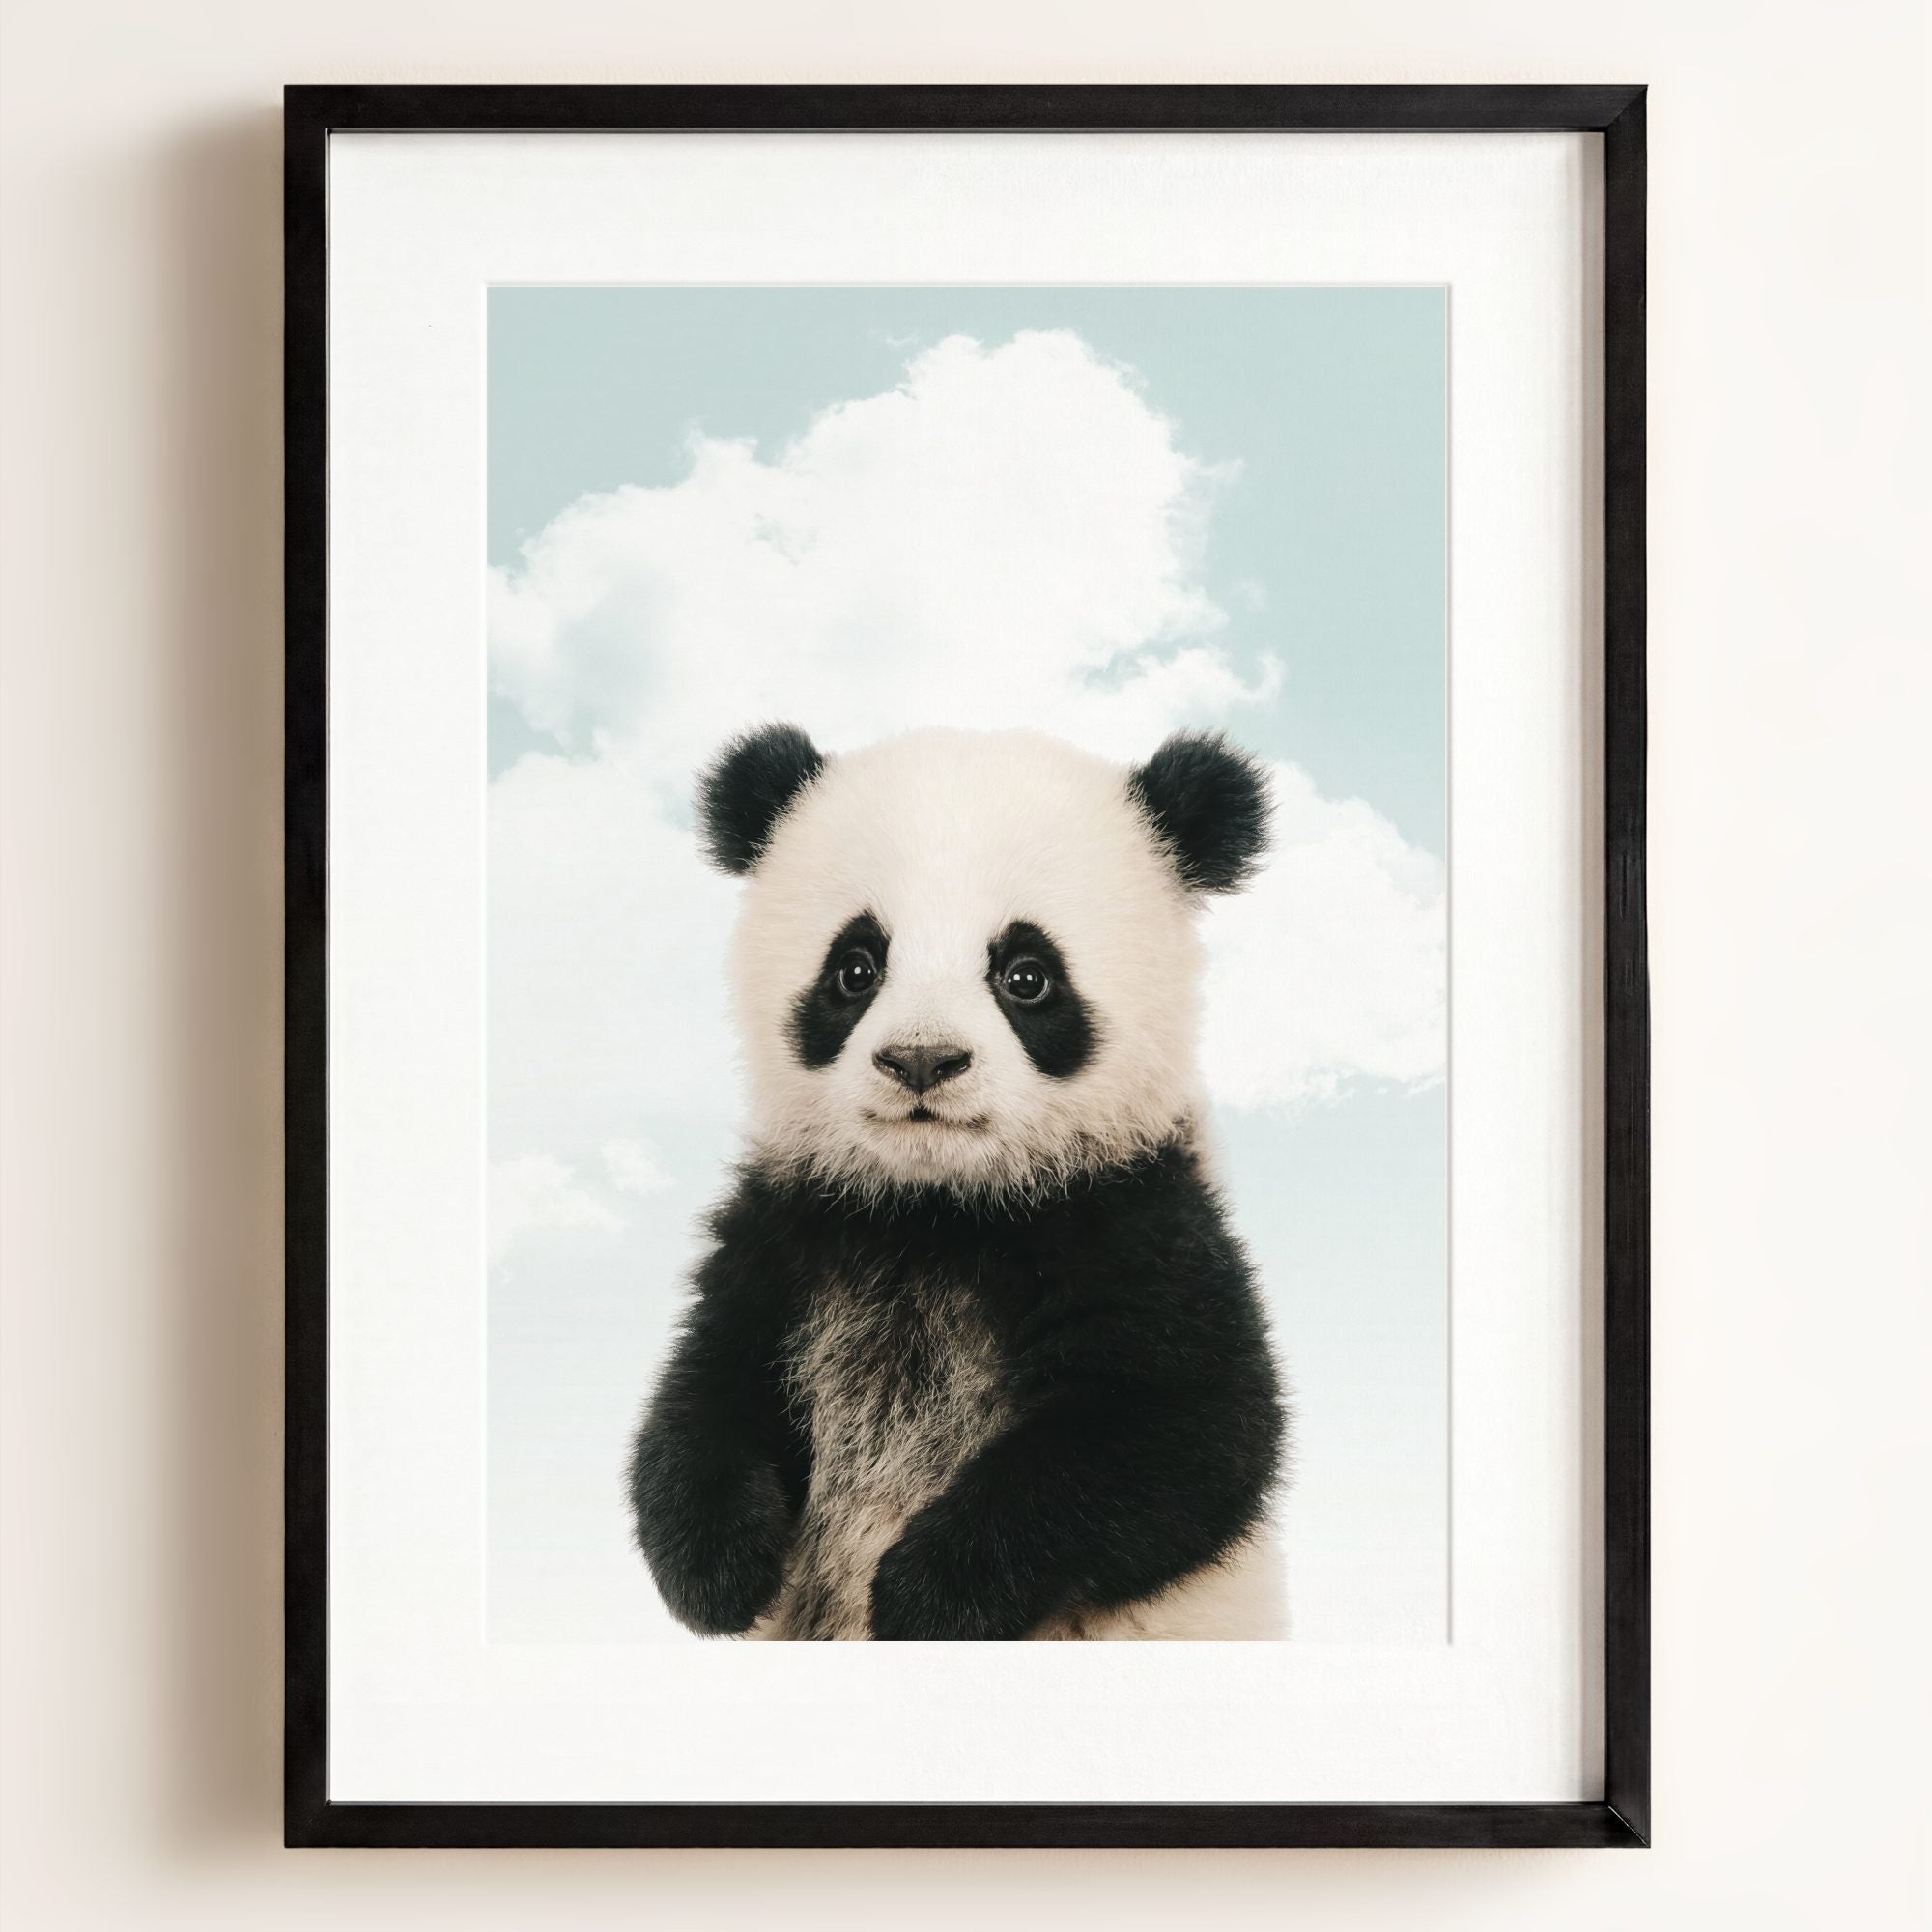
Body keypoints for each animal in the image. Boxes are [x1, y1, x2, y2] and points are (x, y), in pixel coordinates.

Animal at [627, 723, 1288, 1641]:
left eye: (1026, 975)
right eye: (856, 968)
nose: (921, 1060)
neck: (939, 1208)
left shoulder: (1136, 1219)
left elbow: (1183, 1432)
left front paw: (926, 1593)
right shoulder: (792, 1225)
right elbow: (710, 1387)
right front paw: (719, 1568)